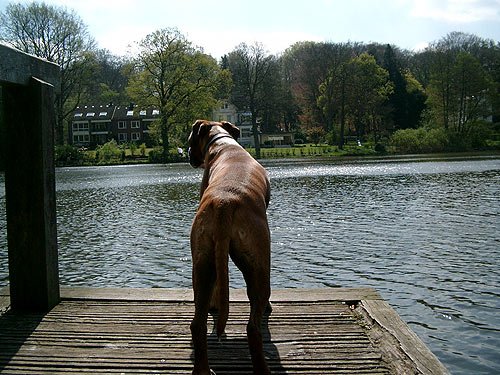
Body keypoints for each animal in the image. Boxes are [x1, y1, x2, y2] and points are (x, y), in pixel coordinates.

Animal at [188, 121, 274, 375]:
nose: (188, 154)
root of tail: (223, 203)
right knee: (253, 326)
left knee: (197, 324)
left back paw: (202, 370)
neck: (222, 142)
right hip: (259, 264)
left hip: (202, 262)